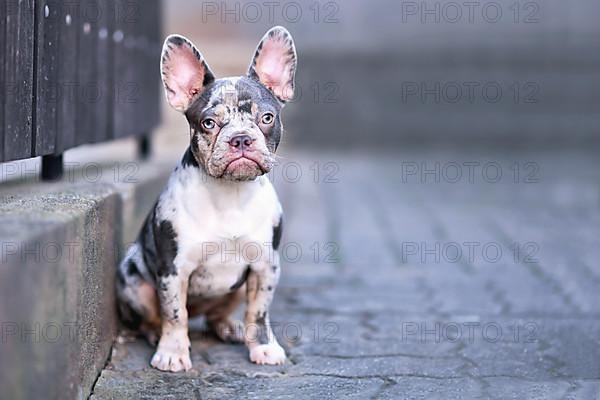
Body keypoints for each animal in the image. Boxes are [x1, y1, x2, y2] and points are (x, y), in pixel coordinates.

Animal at [115, 27, 296, 372]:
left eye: (267, 118)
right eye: (208, 123)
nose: (241, 138)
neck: (231, 193)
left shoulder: (265, 266)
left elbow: (259, 310)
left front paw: (264, 347)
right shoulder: (173, 270)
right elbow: (175, 313)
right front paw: (172, 352)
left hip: (236, 288)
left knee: (217, 314)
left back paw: (231, 329)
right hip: (133, 280)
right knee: (156, 317)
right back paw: (156, 335)